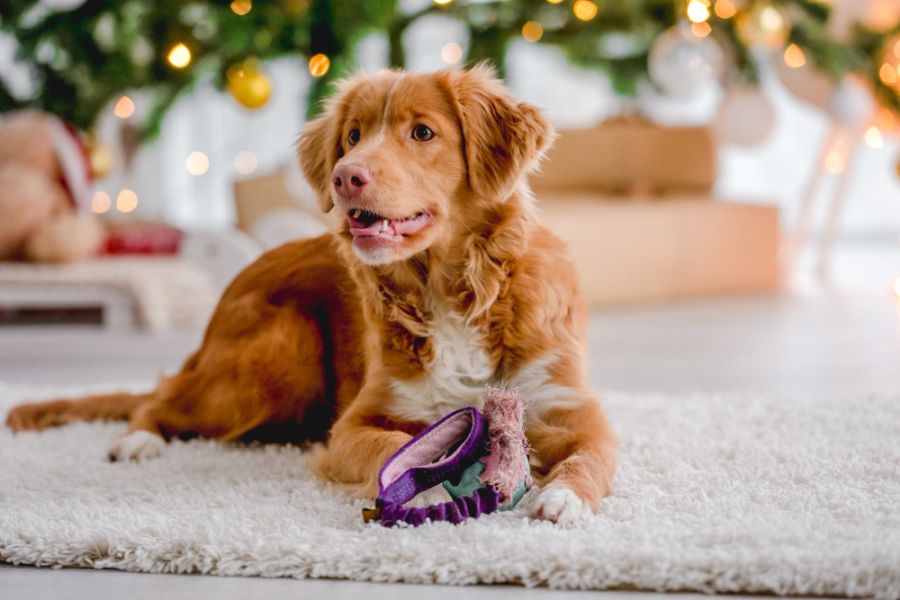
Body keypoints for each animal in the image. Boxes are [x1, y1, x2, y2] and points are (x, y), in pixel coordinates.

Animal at [5, 65, 620, 524]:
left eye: (422, 132)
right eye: (353, 136)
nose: (346, 177)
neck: (452, 290)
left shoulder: (573, 411)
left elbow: (591, 456)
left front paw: (562, 497)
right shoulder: (354, 424)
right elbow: (387, 449)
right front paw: (420, 488)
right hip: (280, 352)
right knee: (159, 400)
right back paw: (139, 441)